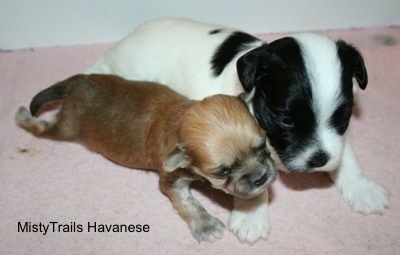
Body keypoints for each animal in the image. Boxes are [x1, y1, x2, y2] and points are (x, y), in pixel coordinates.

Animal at [14, 74, 276, 243]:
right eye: (223, 171)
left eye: (263, 144)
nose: (262, 178)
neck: (178, 121)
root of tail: (77, 83)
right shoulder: (170, 180)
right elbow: (187, 203)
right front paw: (207, 226)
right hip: (66, 126)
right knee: (40, 127)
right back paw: (22, 116)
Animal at [87, 17, 390, 243]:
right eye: (286, 120)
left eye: (343, 116)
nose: (318, 161)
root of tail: (119, 47)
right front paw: (251, 214)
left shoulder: (338, 137)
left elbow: (345, 154)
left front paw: (362, 188)